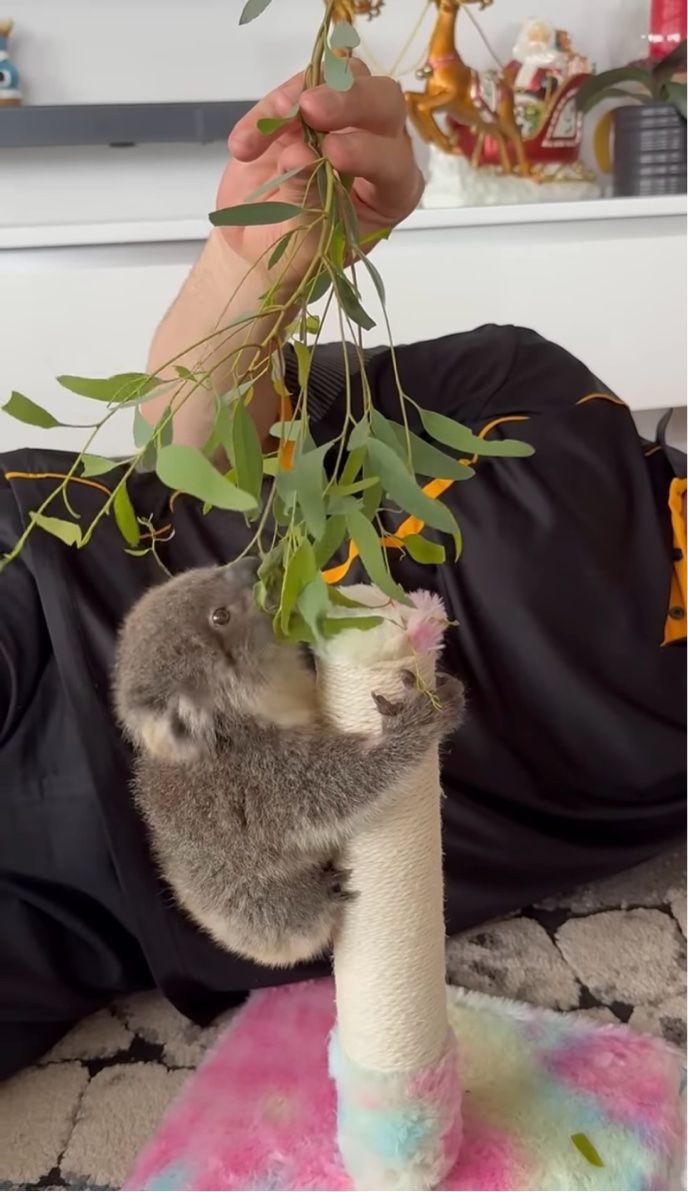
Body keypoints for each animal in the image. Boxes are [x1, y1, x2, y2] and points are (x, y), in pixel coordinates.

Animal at [112, 559, 464, 968]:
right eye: (221, 616)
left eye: (207, 570)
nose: (254, 565)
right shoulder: (257, 774)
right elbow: (333, 789)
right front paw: (414, 722)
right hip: (251, 901)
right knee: (285, 912)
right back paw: (324, 894)